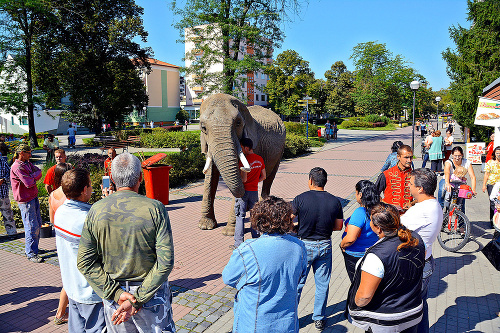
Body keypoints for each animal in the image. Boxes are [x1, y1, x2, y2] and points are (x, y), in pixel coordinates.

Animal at [198, 92, 286, 235]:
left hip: (280, 149)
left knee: (270, 176)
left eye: (238, 123)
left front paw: (228, 232)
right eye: (203, 128)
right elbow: (210, 176)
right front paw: (205, 226)